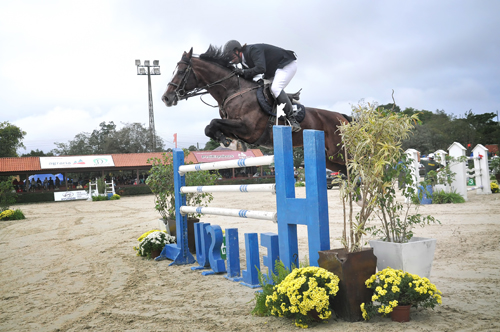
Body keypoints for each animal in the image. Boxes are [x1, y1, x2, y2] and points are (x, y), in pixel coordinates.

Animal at [162, 46, 350, 174]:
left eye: (180, 71)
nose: (166, 98)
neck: (233, 91)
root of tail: (342, 117)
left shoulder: (248, 128)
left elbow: (213, 123)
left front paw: (224, 141)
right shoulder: (235, 127)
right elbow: (210, 127)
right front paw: (227, 141)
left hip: (339, 152)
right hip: (330, 159)